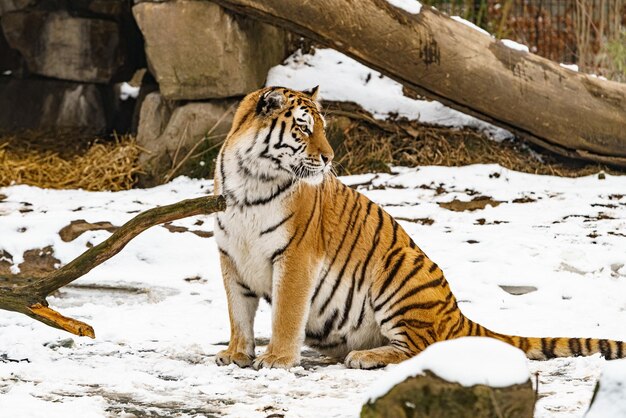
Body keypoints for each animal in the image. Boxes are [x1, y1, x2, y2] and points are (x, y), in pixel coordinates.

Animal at [212, 85, 620, 370]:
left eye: (323, 129)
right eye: (303, 128)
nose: (329, 157)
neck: (251, 181)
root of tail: (455, 314)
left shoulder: (296, 257)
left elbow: (285, 313)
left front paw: (277, 359)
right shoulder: (231, 256)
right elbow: (237, 313)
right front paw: (235, 354)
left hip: (399, 269)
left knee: (420, 348)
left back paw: (366, 357)